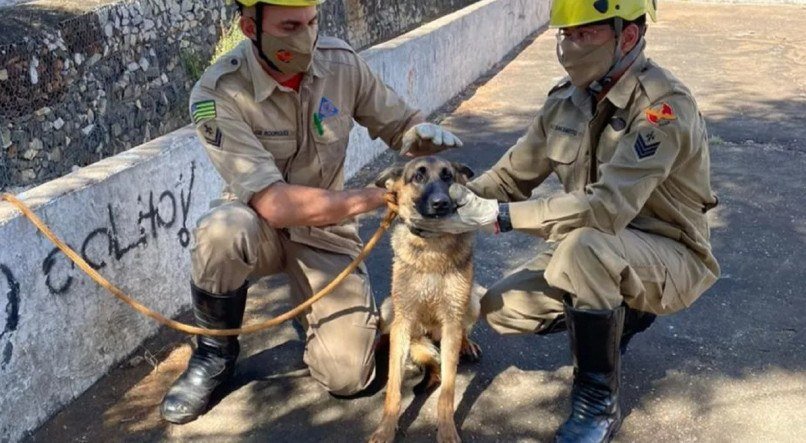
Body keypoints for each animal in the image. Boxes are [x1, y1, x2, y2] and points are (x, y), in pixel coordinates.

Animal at [370, 156, 482, 443]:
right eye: (418, 177)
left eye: (447, 177)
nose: (441, 203)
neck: (433, 245)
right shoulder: (402, 321)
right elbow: (394, 387)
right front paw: (385, 428)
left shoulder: (452, 321)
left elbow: (448, 390)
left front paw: (447, 430)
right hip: (389, 309)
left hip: (473, 301)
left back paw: (466, 345)